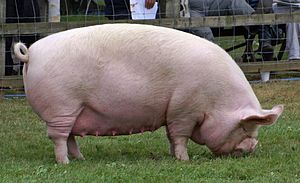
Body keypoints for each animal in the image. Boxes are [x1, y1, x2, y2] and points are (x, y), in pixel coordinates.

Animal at [12, 23, 284, 164]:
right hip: (62, 106)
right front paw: (184, 160)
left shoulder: (172, 112)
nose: (253, 147)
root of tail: (31, 53)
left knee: (69, 137)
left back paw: (81, 159)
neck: (216, 100)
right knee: (58, 138)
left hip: (72, 110)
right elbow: (180, 135)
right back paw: (65, 163)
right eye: (246, 127)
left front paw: (173, 156)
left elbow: (171, 136)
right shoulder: (184, 108)